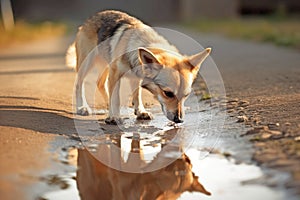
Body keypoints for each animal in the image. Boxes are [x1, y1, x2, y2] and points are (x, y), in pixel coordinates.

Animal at [66, 10, 211, 125]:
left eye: (186, 95)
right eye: (168, 93)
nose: (179, 120)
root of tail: (91, 18)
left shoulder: (136, 77)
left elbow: (137, 94)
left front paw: (140, 111)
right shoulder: (116, 73)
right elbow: (116, 98)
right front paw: (115, 117)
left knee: (100, 83)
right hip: (87, 63)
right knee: (79, 84)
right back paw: (82, 107)